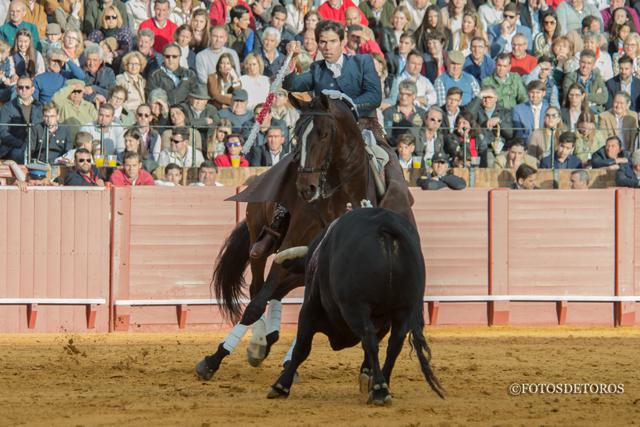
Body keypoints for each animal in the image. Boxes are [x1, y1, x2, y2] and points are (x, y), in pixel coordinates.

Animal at [198, 94, 412, 382]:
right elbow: (256, 302)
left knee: (279, 290)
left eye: (324, 134)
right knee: (258, 286)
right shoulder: (290, 245)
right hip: (259, 238)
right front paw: (213, 359)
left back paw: (272, 345)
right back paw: (259, 342)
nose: (306, 188)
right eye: (298, 135)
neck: (339, 194)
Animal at [268, 207, 442, 404]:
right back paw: (383, 384)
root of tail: (385, 223)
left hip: (356, 307)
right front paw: (368, 376)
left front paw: (281, 386)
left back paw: (380, 389)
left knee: (370, 340)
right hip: (404, 309)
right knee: (393, 344)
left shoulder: (309, 310)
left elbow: (301, 348)